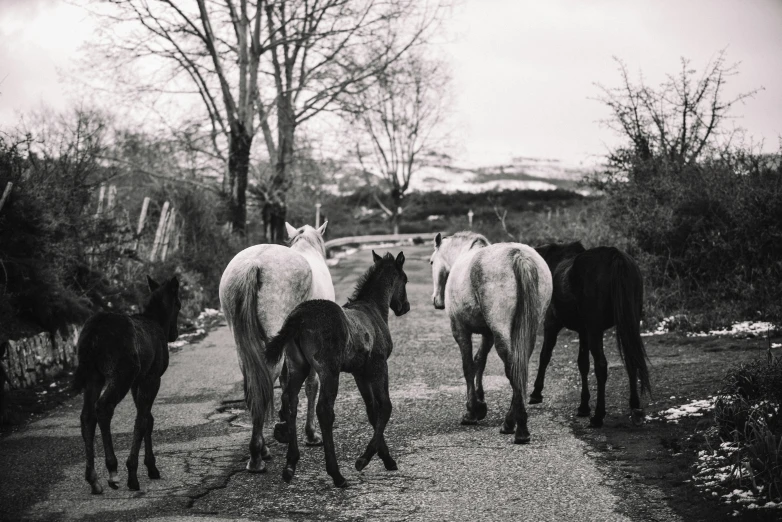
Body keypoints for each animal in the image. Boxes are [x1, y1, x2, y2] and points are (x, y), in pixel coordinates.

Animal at [72, 276, 181, 492]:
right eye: (179, 304)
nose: (174, 334)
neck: (158, 322)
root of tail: (92, 334)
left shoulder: (137, 381)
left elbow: (148, 418)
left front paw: (151, 466)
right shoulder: (152, 376)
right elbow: (142, 421)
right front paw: (134, 471)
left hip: (93, 375)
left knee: (87, 415)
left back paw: (93, 478)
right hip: (121, 373)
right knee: (103, 407)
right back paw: (112, 470)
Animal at [219, 220, 336, 472]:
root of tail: (254, 263)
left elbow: (286, 382)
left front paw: (284, 421)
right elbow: (310, 385)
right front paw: (311, 434)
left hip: (245, 342)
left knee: (254, 383)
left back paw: (262, 449)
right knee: (265, 381)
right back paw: (256, 456)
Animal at [264, 250, 410, 486]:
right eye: (405, 280)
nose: (405, 307)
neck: (373, 310)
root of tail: (299, 317)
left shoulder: (360, 373)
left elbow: (372, 410)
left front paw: (385, 457)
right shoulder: (379, 366)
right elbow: (385, 406)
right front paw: (364, 459)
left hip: (298, 366)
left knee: (290, 401)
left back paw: (290, 465)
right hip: (329, 371)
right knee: (324, 410)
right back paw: (336, 474)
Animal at [432, 232, 556, 442]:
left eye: (431, 261)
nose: (436, 301)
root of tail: (518, 255)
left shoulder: (460, 330)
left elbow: (468, 366)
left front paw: (471, 411)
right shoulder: (487, 334)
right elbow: (479, 361)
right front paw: (480, 404)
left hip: (500, 330)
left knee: (512, 367)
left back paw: (517, 427)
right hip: (526, 330)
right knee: (519, 364)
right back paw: (512, 420)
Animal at [528, 242, 652, 424]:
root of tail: (615, 256)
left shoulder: (552, 322)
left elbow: (545, 355)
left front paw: (536, 393)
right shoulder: (583, 331)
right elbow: (583, 364)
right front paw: (584, 406)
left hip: (595, 329)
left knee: (601, 366)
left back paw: (599, 415)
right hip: (629, 322)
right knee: (631, 359)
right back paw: (634, 405)